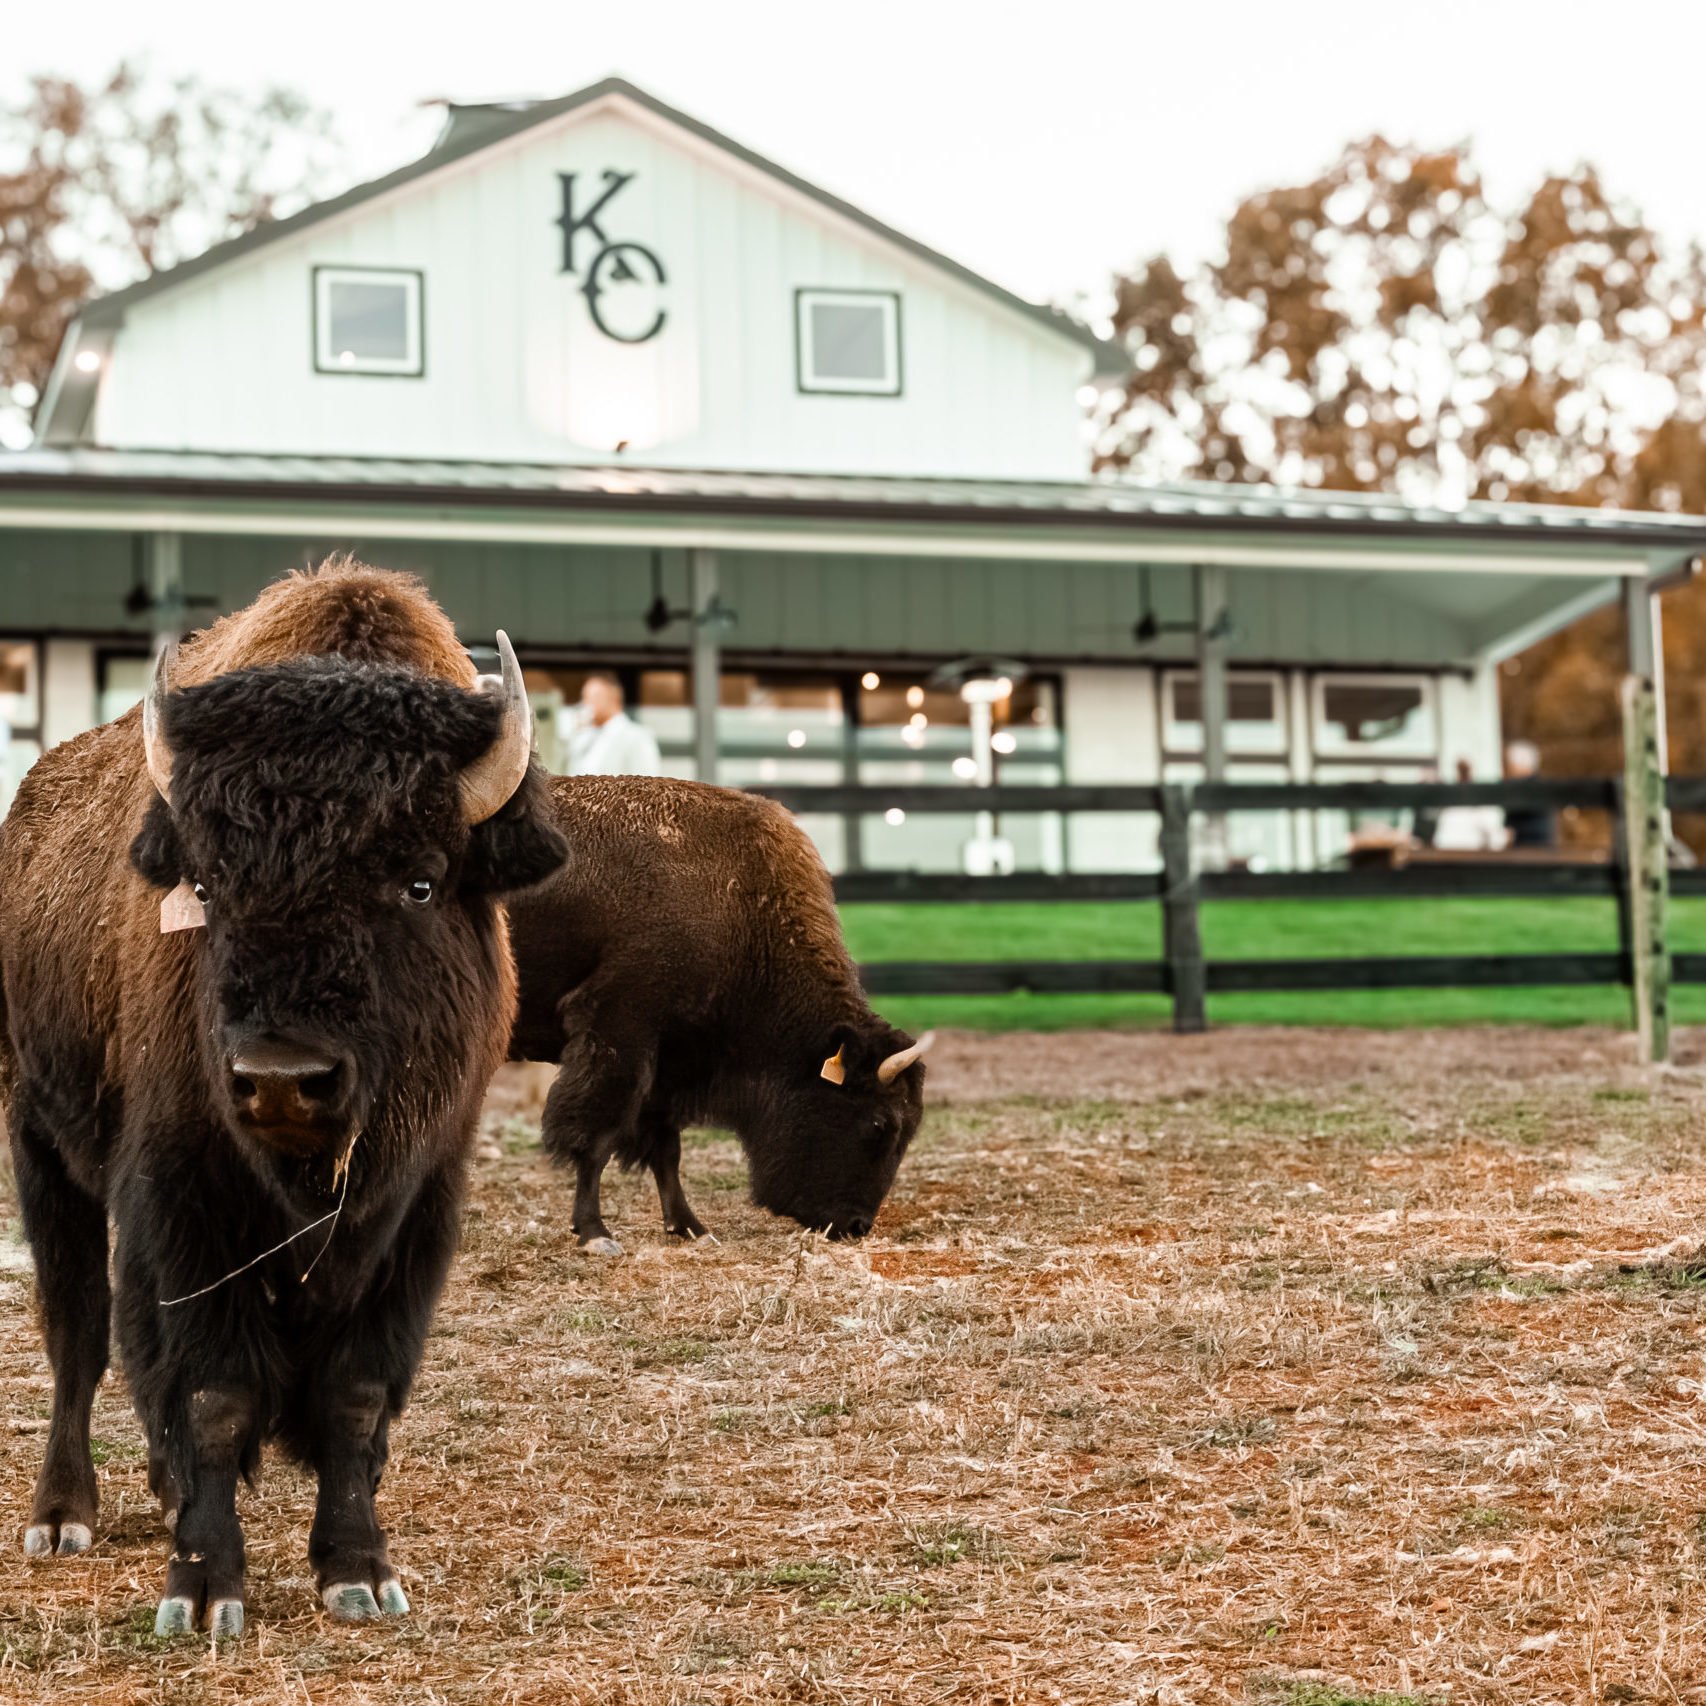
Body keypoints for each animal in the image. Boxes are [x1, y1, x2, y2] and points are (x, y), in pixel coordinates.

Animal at [0, 563, 567, 1635]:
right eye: (210, 885)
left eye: (420, 882)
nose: (281, 1079)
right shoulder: (181, 1204)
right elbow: (211, 1390)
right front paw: (203, 1590)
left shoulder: (415, 1209)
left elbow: (353, 1392)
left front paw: (358, 1572)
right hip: (38, 1144)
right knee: (77, 1331)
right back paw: (63, 1515)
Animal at [506, 774, 931, 1252]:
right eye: (880, 1123)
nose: (856, 1226)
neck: (740, 899)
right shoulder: (618, 1034)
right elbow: (597, 1139)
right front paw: (596, 1233)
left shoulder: (668, 1061)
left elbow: (666, 1148)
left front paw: (691, 1227)